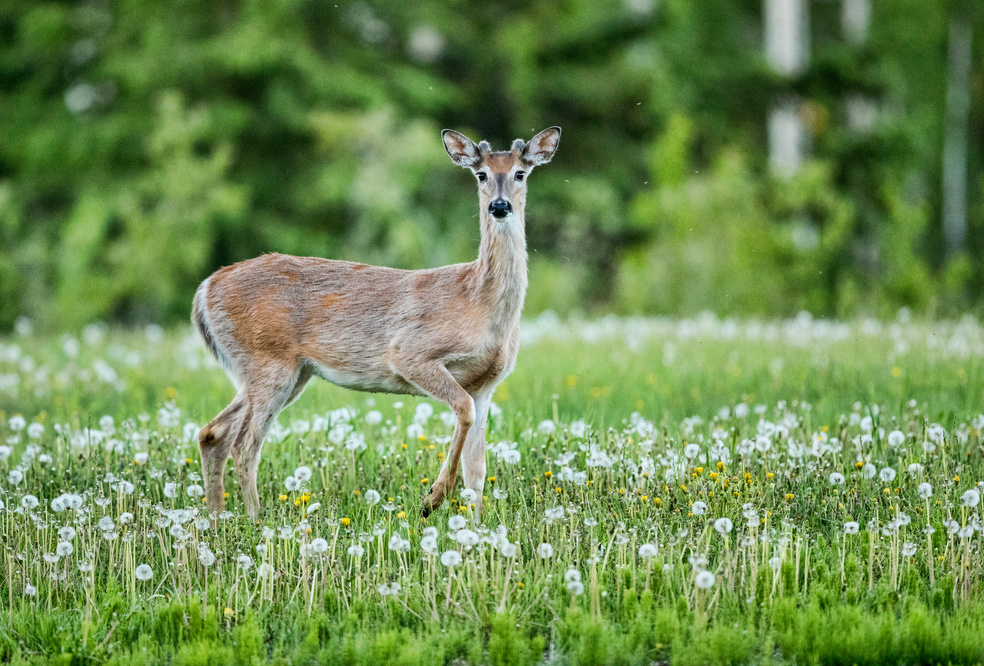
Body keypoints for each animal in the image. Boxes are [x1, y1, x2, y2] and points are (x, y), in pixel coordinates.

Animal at [194, 124, 560, 520]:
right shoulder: (410, 352)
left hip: (284, 372)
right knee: (244, 443)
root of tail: (205, 289)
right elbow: (461, 411)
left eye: (520, 173)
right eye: (481, 174)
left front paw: (475, 527)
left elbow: (477, 469)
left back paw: (218, 520)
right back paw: (255, 519)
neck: (480, 304)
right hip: (267, 360)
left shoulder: (486, 384)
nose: (499, 206)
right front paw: (432, 498)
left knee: (213, 433)